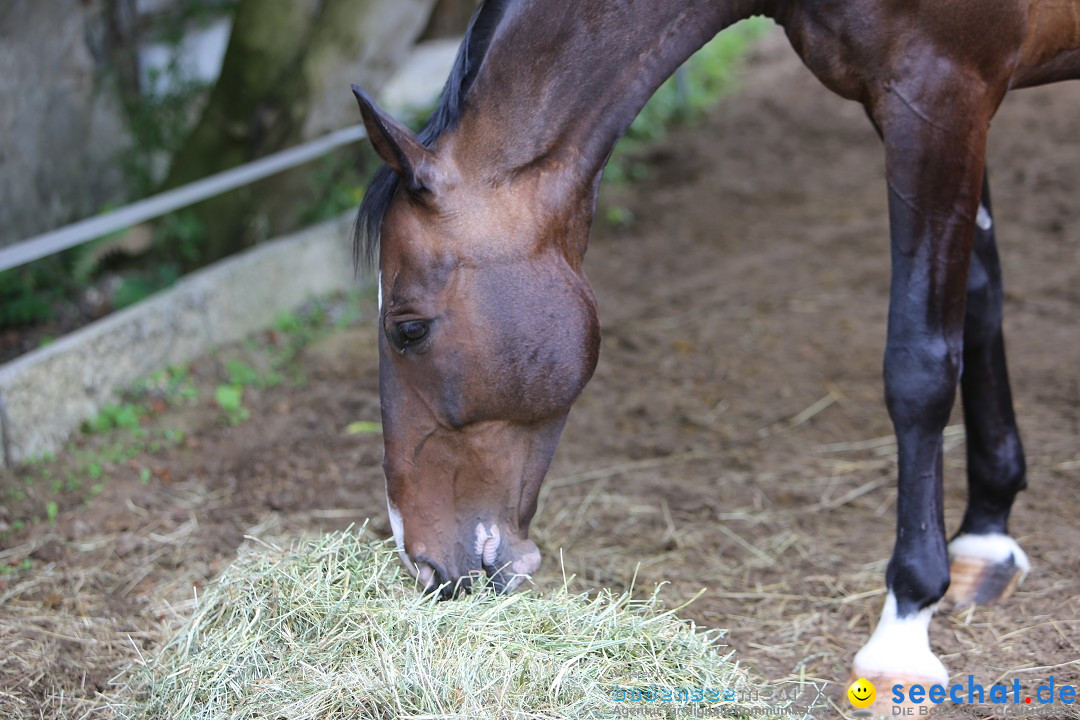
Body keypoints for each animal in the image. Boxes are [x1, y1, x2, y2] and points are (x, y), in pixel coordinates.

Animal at [352, 0, 1080, 703]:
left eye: (408, 329)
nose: (423, 563)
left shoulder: (940, 97)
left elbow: (921, 365)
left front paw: (903, 632)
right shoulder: (951, 107)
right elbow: (979, 301)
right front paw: (988, 533)